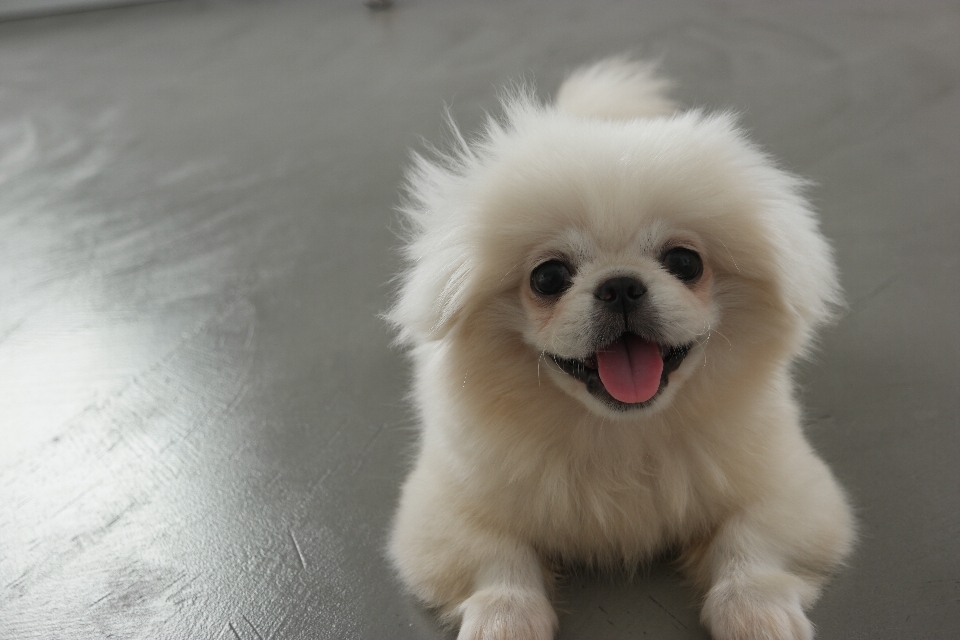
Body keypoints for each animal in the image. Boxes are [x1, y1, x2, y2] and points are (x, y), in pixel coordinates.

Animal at [386, 57, 852, 636]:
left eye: (684, 262)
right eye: (548, 277)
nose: (621, 284)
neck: (621, 439)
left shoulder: (788, 486)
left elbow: (749, 542)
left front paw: (754, 612)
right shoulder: (447, 509)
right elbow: (501, 563)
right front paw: (506, 619)